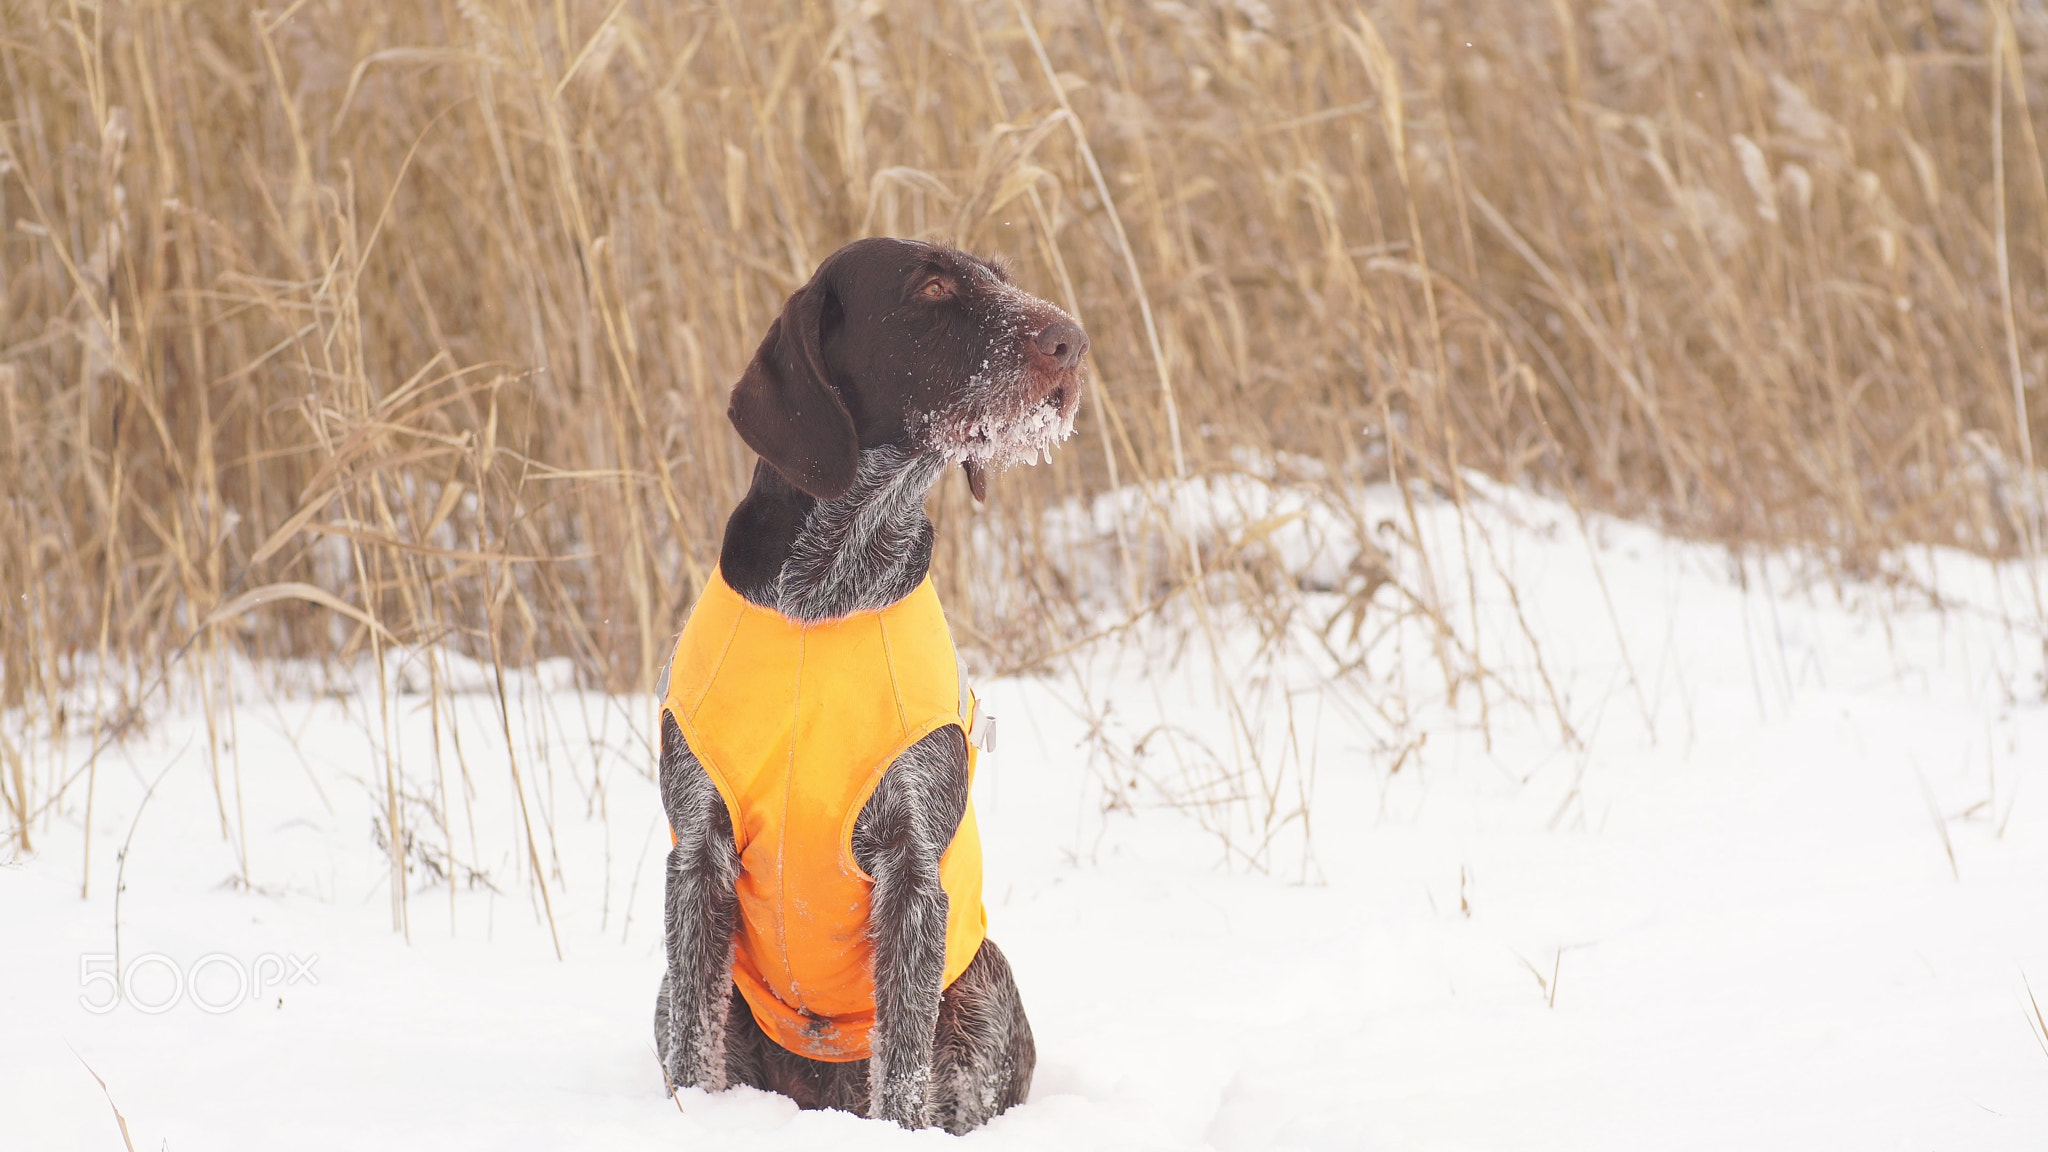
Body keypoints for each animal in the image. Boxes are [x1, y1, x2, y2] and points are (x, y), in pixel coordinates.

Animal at [655, 235, 1089, 1131]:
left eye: (998, 276)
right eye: (932, 289)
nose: (1073, 340)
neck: (829, 588)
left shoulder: (912, 868)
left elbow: (904, 1072)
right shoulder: (698, 852)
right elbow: (691, 1047)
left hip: (984, 986)